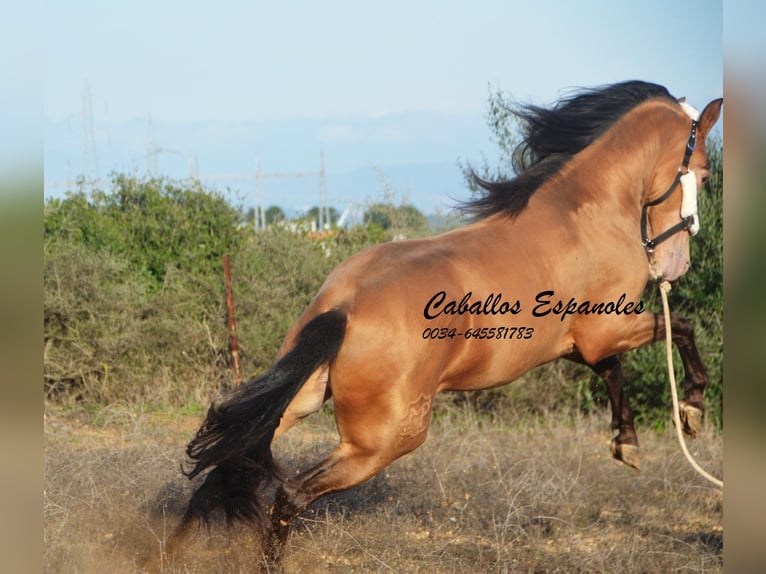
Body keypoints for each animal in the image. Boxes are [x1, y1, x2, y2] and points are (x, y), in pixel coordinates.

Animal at [165, 81, 724, 568]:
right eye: (703, 173)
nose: (676, 263)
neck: (584, 213)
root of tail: (344, 307)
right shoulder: (607, 328)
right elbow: (680, 328)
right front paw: (692, 409)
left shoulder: (580, 343)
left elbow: (612, 370)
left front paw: (626, 442)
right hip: (383, 441)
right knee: (290, 492)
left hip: (300, 401)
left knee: (225, 467)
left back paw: (171, 551)